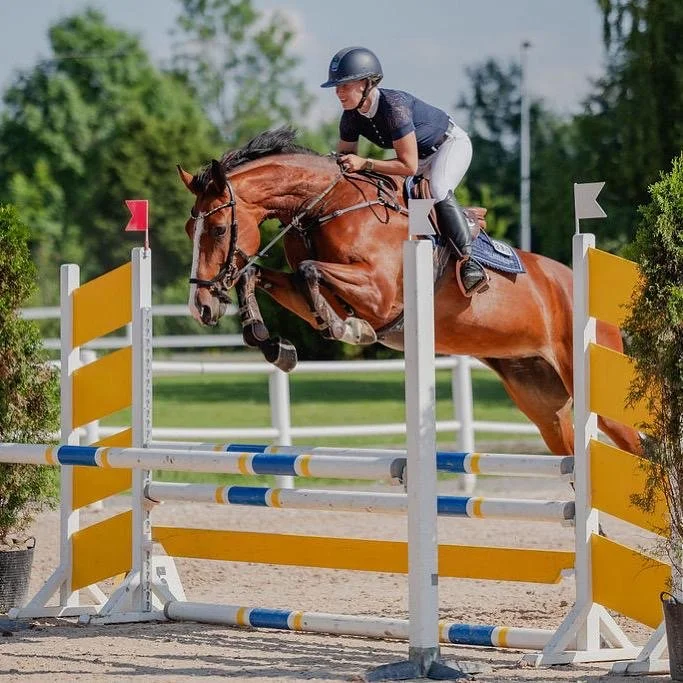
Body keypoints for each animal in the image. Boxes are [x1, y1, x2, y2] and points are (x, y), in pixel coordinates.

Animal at [177, 128, 640, 457]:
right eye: (188, 229)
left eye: (218, 229)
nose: (200, 307)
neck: (327, 205)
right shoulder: (312, 290)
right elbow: (257, 276)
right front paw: (271, 343)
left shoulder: (380, 295)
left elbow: (310, 273)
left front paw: (347, 330)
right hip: (542, 400)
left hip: (594, 393)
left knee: (638, 447)